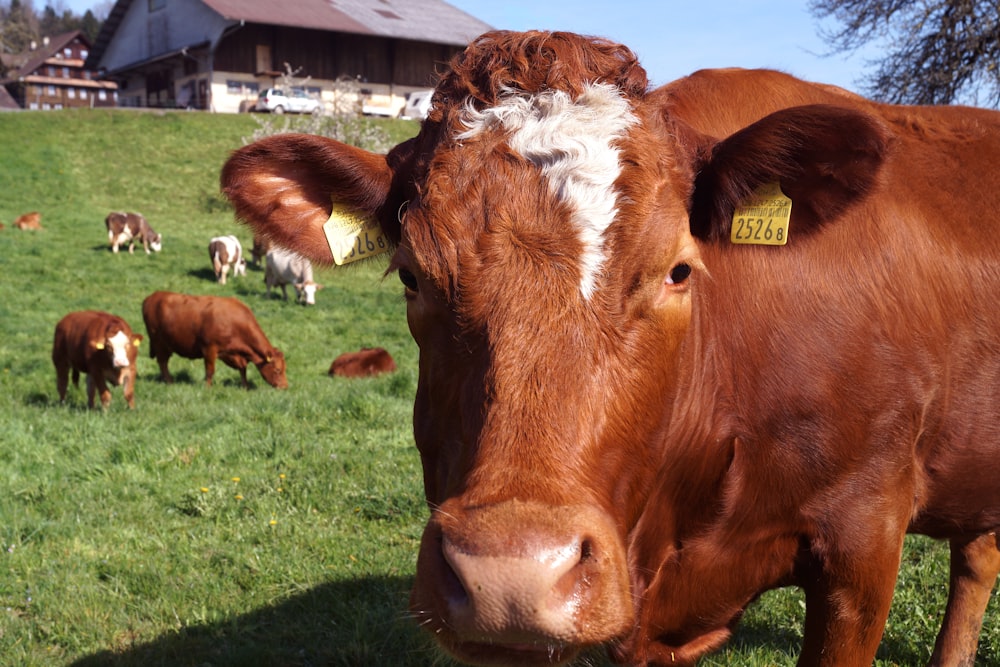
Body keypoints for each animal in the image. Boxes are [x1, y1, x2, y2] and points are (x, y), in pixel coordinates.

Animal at [141, 290, 290, 388]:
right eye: (278, 370)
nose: (284, 387)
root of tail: (153, 296)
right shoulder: (209, 349)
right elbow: (210, 371)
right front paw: (207, 388)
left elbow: (243, 370)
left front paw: (245, 387)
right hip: (159, 343)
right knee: (163, 362)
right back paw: (169, 381)